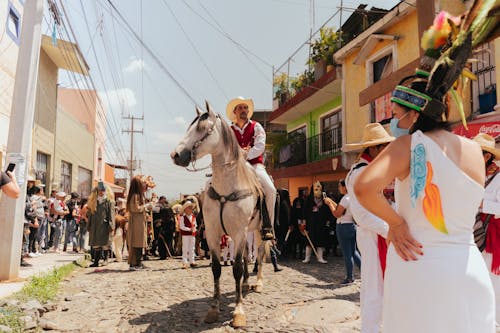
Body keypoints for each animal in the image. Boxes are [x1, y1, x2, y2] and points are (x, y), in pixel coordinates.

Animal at [171, 102, 270, 326]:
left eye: (202, 128)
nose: (175, 155)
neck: (228, 186)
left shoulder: (239, 233)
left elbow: (236, 269)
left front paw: (238, 312)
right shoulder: (214, 234)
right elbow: (217, 268)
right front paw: (214, 308)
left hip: (258, 231)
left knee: (259, 254)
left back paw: (258, 283)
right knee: (246, 257)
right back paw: (245, 284)